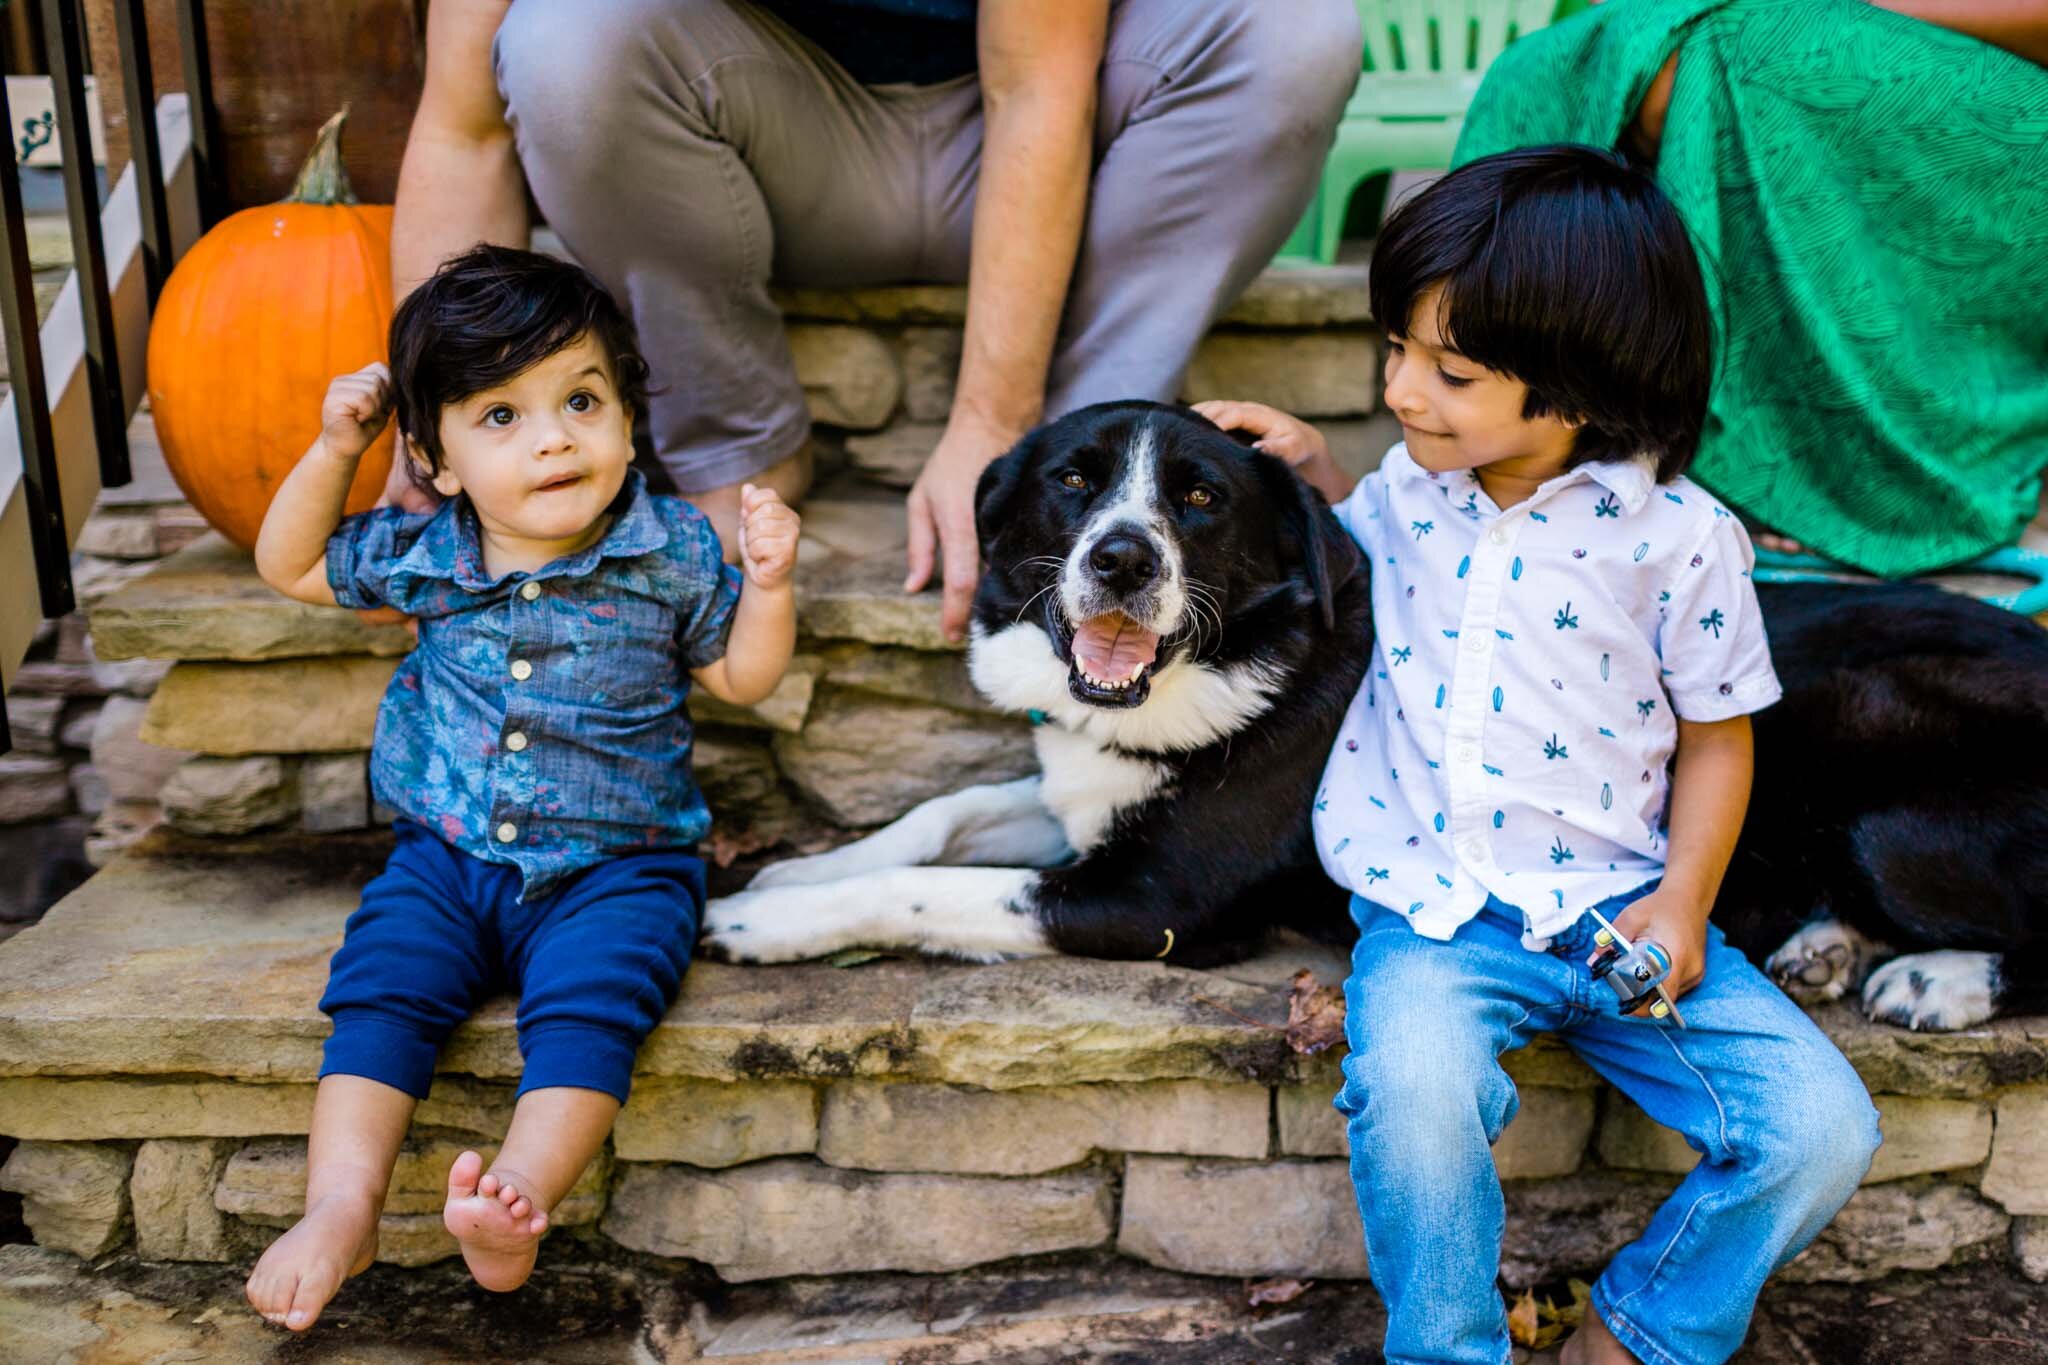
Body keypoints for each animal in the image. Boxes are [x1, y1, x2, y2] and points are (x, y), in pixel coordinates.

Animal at [700, 401, 2048, 1031]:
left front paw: (755, 924)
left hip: (1878, 776)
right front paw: (796, 873)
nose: (1122, 560)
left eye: (1198, 498)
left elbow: (929, 892)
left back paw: (1938, 979)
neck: (1233, 664)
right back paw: (1826, 944)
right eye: (1074, 482)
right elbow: (939, 817)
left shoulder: (1148, 901)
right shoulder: (1085, 798)